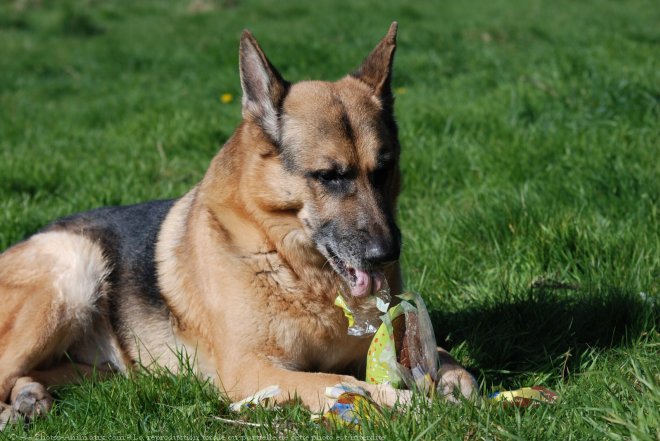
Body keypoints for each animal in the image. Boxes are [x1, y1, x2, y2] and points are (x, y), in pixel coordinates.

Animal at [0, 21, 476, 426]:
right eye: (329, 176)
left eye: (384, 170)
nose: (387, 253)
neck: (290, 264)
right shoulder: (253, 369)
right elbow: (340, 383)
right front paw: (405, 401)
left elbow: (448, 361)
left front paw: (453, 383)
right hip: (73, 270)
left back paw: (30, 397)